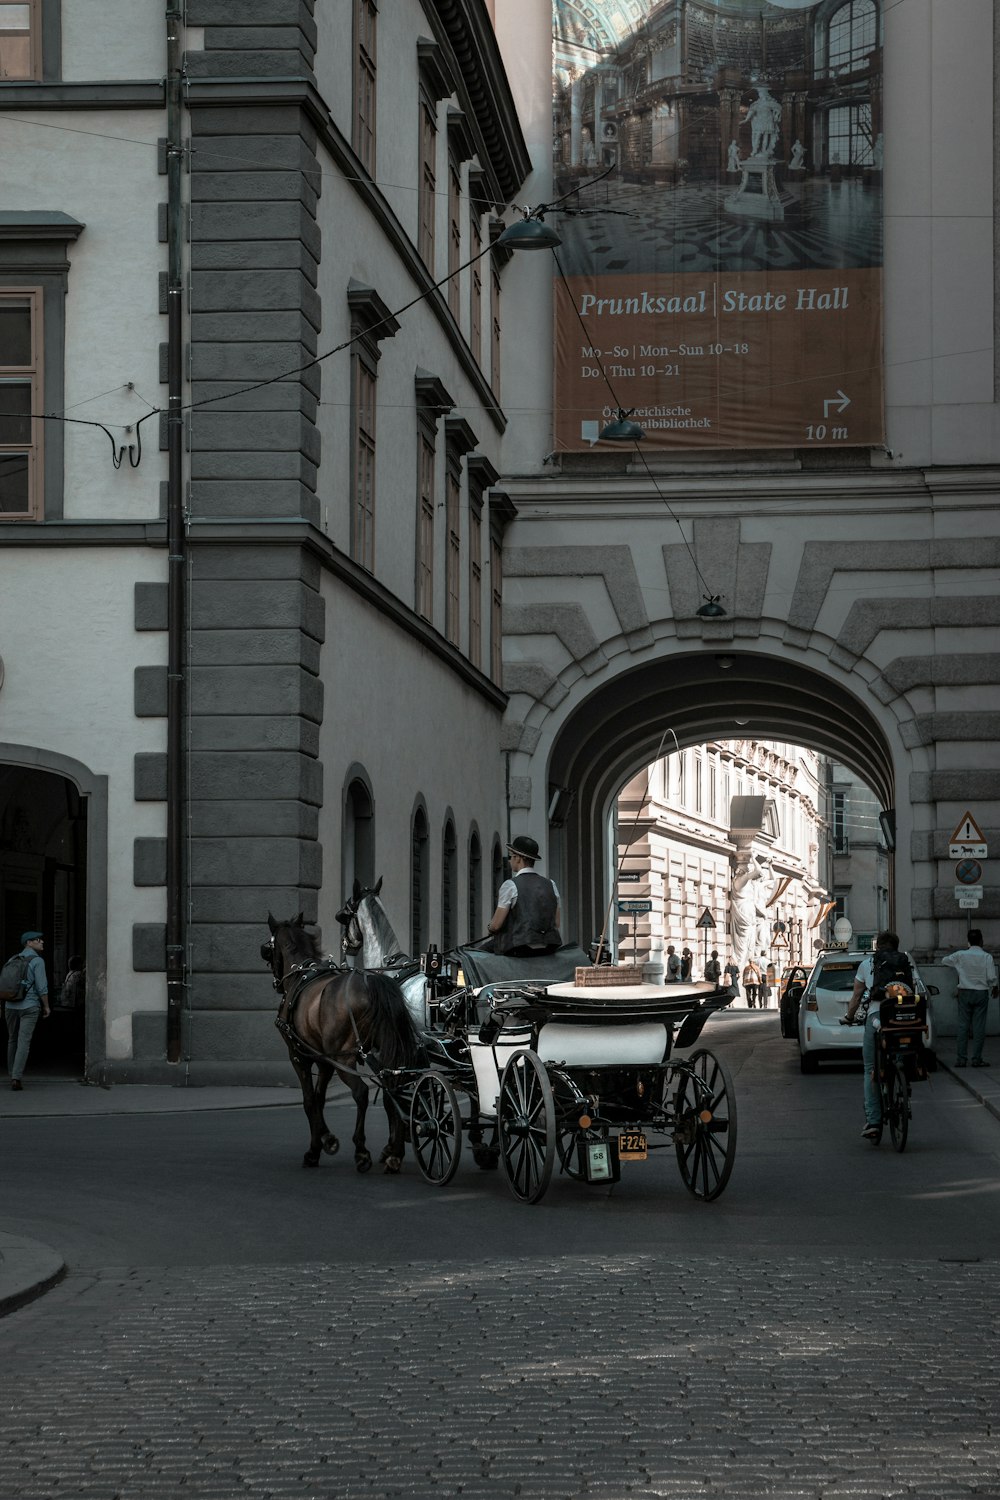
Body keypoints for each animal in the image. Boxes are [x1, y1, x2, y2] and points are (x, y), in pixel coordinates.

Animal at [262, 912, 422, 1170]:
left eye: (268, 948)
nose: (276, 983)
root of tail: (372, 983)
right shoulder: (325, 1061)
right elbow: (319, 1099)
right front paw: (321, 1142)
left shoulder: (299, 1057)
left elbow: (309, 1101)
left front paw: (320, 1145)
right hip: (386, 1054)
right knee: (394, 1091)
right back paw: (394, 1152)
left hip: (345, 1059)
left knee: (361, 1092)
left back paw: (362, 1151)